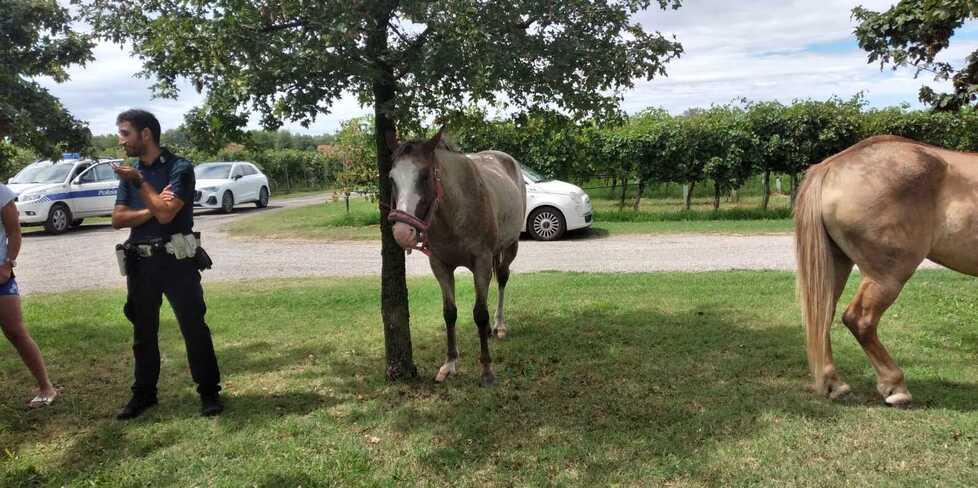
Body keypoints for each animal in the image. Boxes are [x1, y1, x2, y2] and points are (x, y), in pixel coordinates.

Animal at [386, 127, 527, 386]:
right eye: (391, 178)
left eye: (424, 176)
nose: (402, 232)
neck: (456, 210)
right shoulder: (440, 265)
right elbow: (449, 313)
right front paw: (450, 364)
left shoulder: (481, 262)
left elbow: (479, 314)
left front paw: (486, 370)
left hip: (510, 246)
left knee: (502, 279)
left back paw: (499, 325)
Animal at [795, 135, 978, 406]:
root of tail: (831, 166)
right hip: (887, 277)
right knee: (860, 320)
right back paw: (895, 387)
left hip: (836, 264)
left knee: (824, 314)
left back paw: (834, 385)